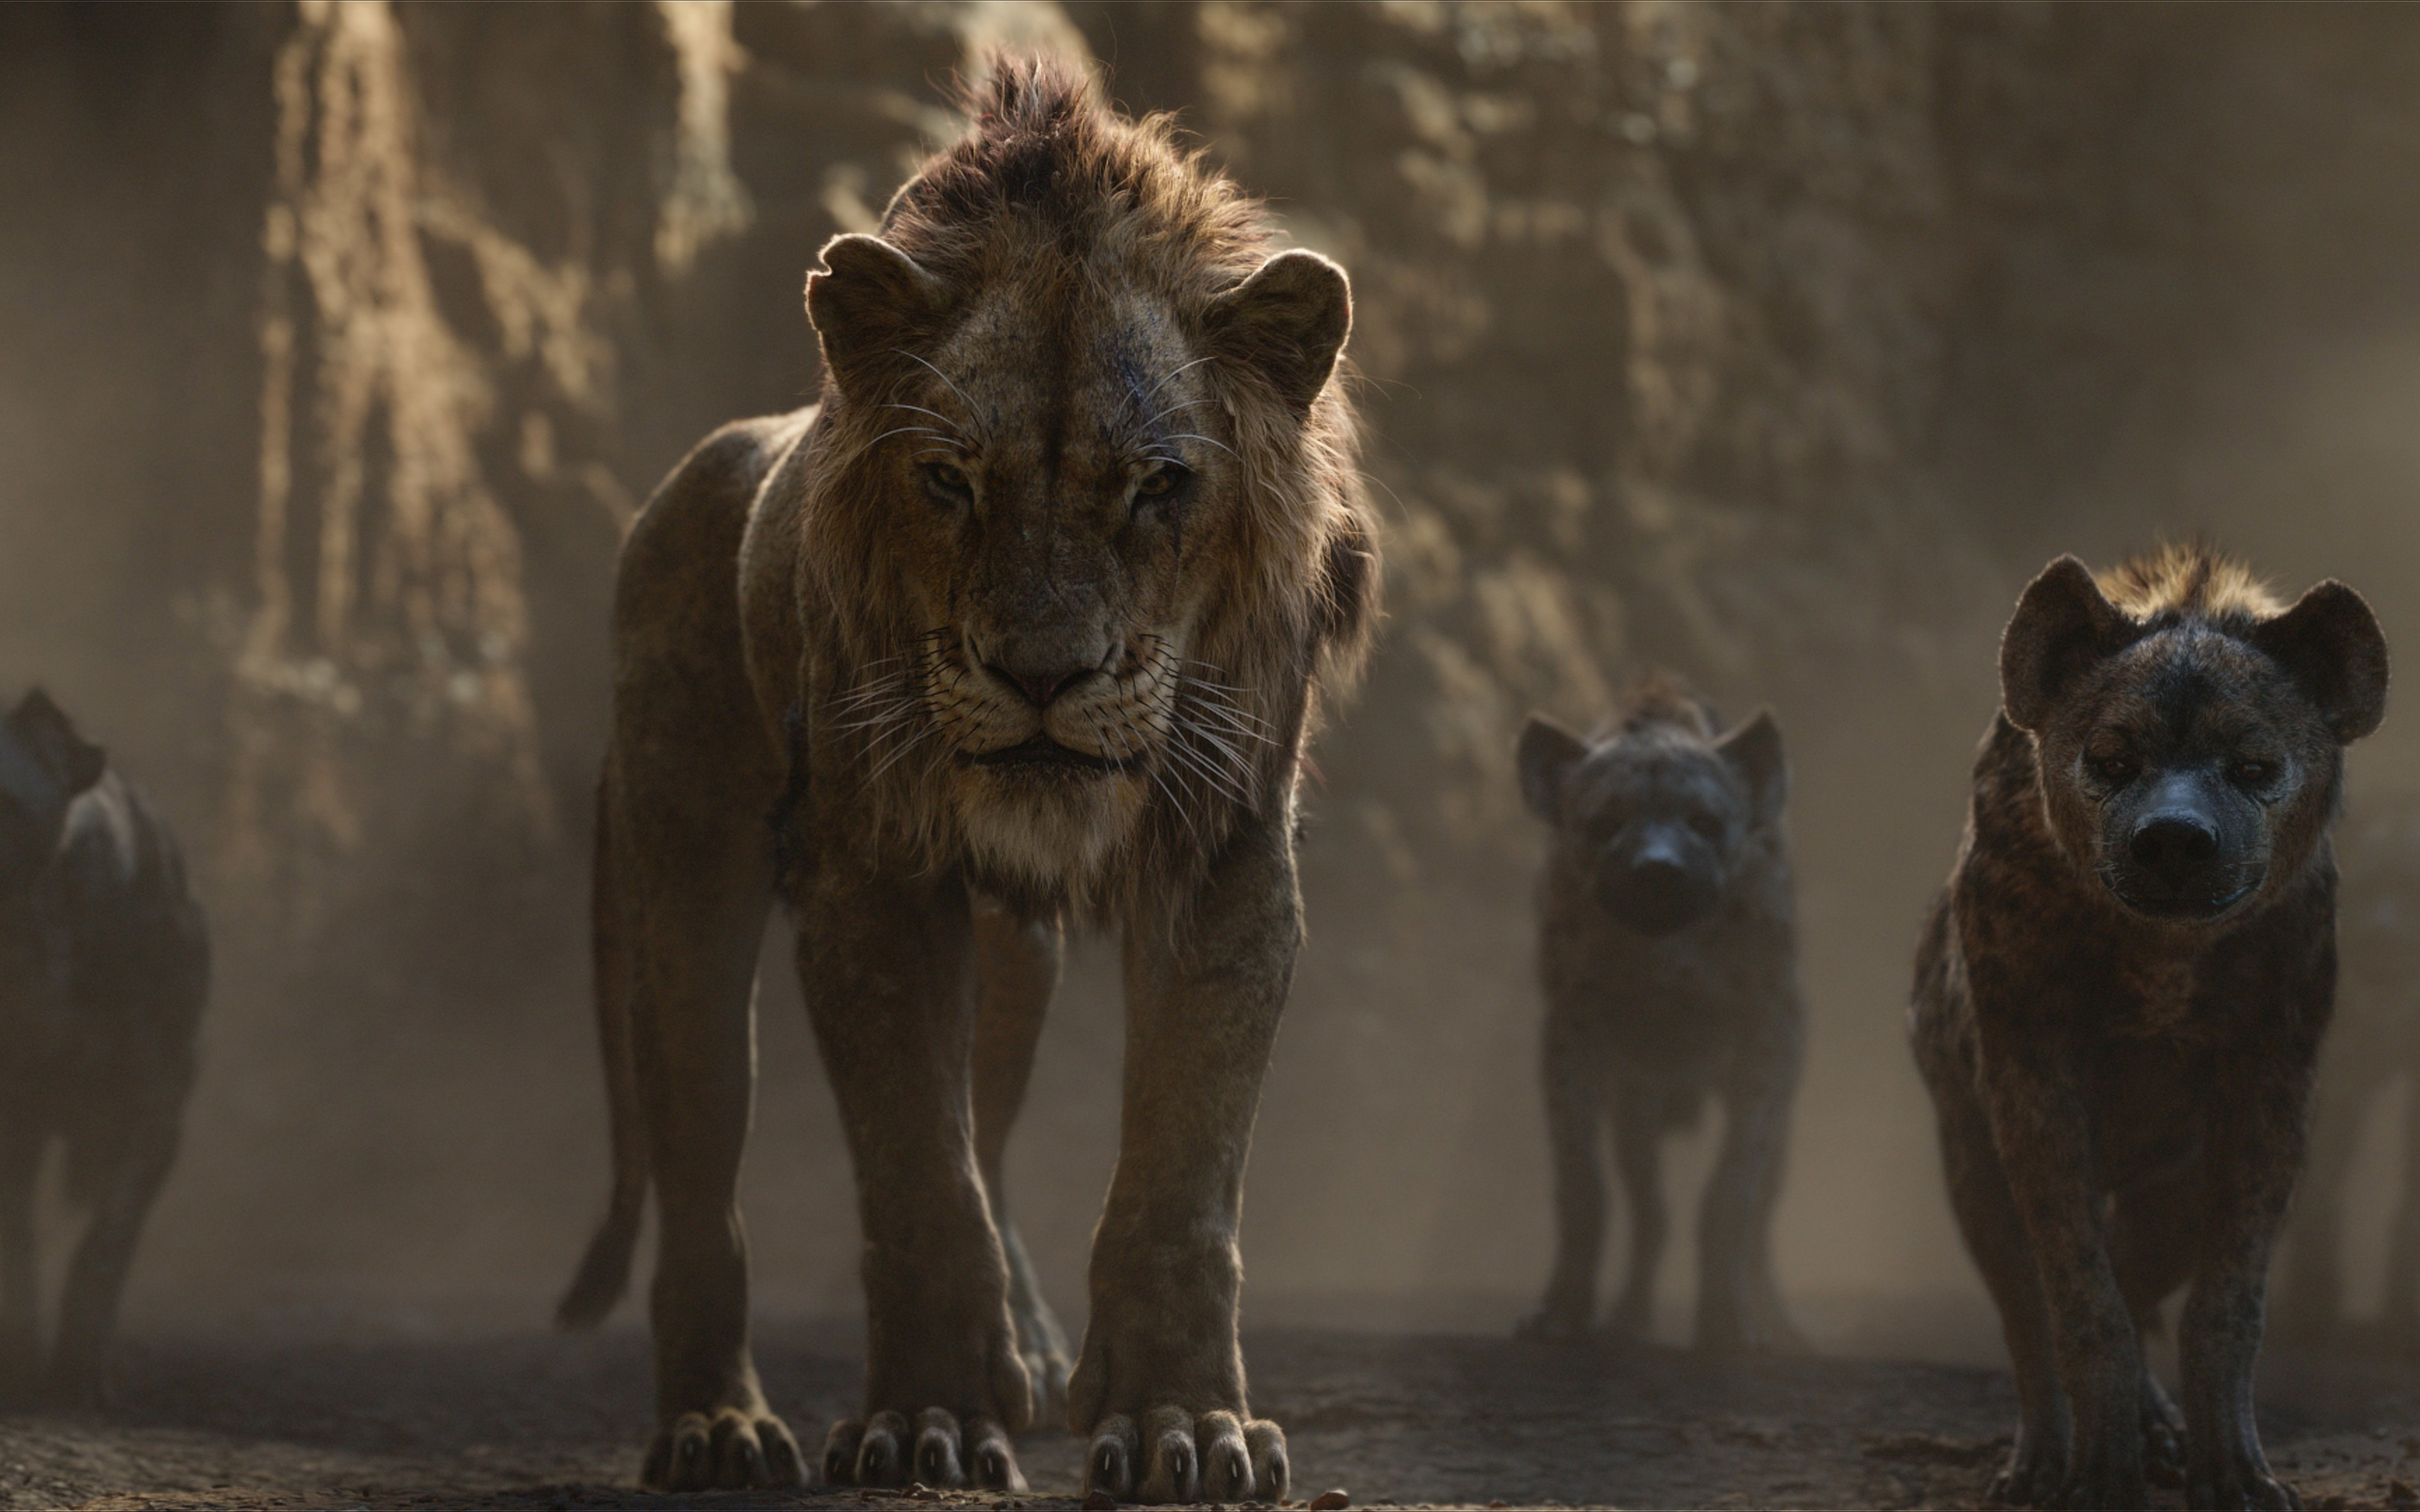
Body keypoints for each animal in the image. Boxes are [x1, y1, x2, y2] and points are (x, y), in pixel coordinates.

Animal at [555, 58, 1377, 1501]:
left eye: (1160, 486)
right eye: (948, 480)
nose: (1043, 674)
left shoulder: (1225, 862)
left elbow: (1178, 1178)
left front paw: (1179, 1424)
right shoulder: (873, 879)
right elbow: (916, 1179)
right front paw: (924, 1423)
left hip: (1013, 959)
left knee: (989, 1128)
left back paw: (1035, 1349)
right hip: (683, 887)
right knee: (705, 1176)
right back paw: (715, 1428)